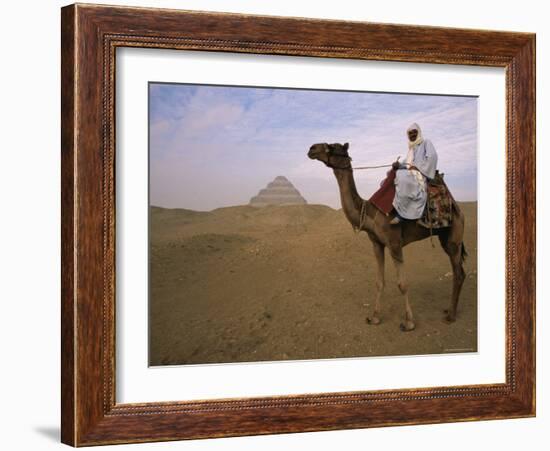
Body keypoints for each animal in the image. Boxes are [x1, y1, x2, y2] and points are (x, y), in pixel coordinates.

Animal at [308, 143, 468, 334]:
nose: (312, 148)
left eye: (333, 147)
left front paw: (409, 322)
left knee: (458, 273)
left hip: (454, 236)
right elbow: (379, 282)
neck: (369, 212)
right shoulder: (376, 244)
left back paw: (450, 316)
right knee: (459, 271)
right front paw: (374, 317)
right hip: (444, 237)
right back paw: (449, 309)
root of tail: (456, 206)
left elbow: (402, 284)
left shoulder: (394, 243)